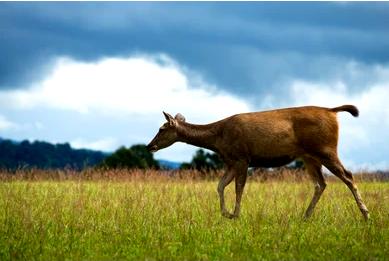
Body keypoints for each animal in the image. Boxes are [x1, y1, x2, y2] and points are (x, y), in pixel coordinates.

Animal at [146, 103, 370, 219]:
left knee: (348, 176)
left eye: (162, 128)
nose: (149, 146)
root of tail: (332, 111)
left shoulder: (242, 157)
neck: (218, 139)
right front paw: (226, 213)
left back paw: (366, 215)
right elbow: (220, 185)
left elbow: (238, 188)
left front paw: (236, 214)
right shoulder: (231, 161)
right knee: (320, 184)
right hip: (309, 156)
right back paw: (305, 216)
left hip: (325, 149)